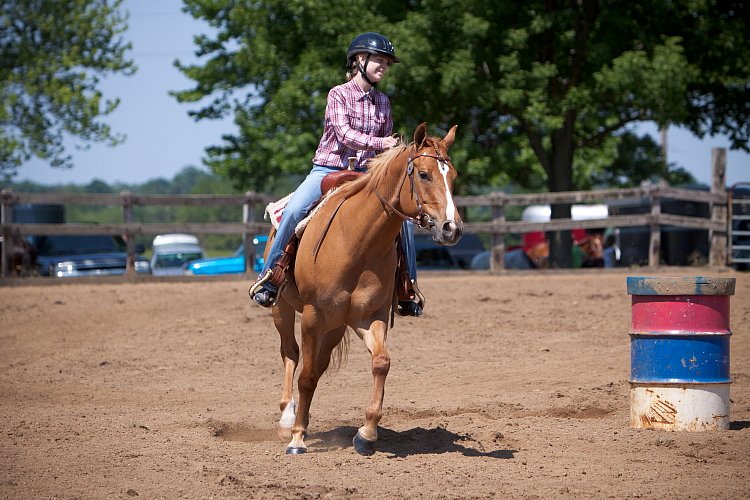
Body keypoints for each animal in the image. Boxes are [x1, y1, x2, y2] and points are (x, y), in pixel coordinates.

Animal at [262, 123, 468, 456]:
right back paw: (287, 418)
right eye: (424, 174)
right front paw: (297, 438)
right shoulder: (312, 317)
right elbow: (305, 376)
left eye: (454, 176)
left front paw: (367, 434)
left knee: (318, 364)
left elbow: (381, 363)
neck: (356, 242)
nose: (452, 228)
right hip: (283, 309)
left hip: (334, 326)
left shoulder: (370, 316)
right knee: (291, 354)